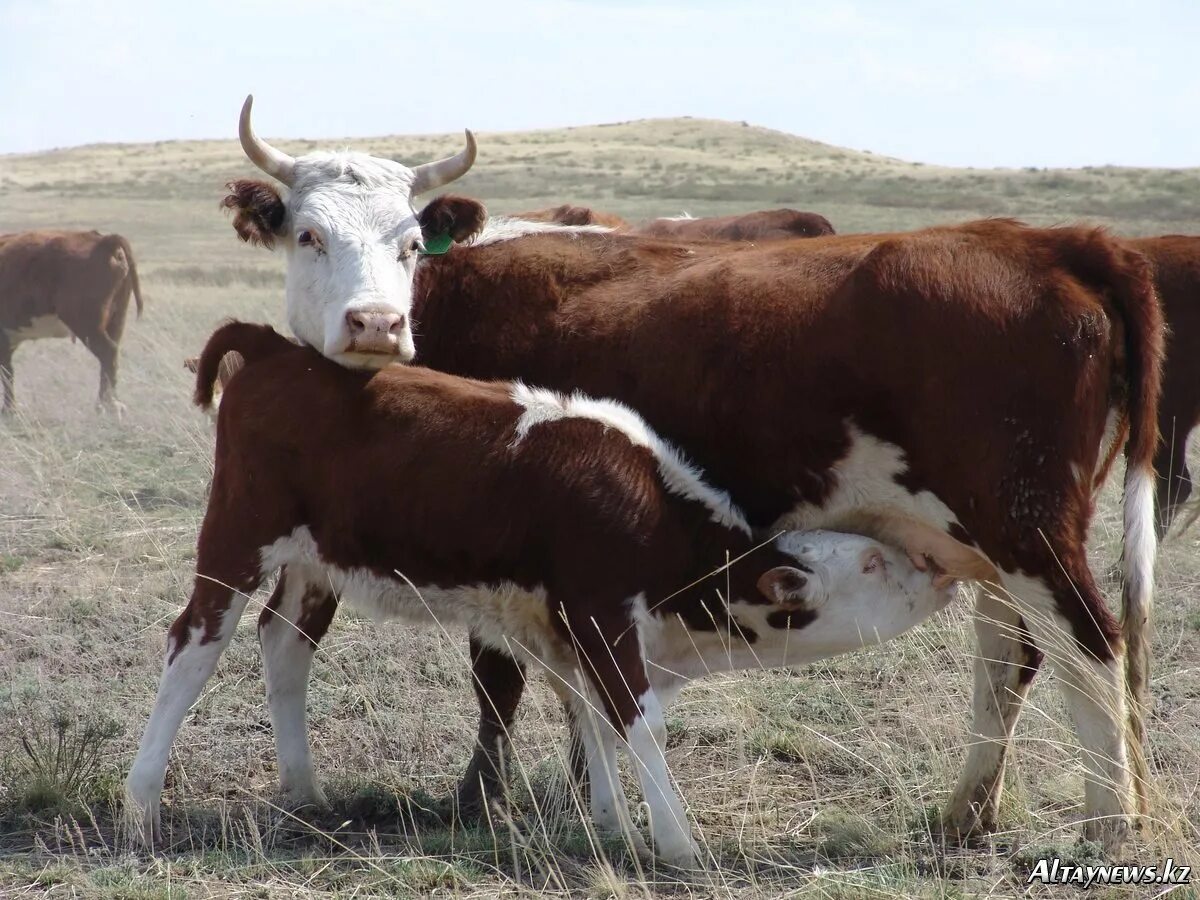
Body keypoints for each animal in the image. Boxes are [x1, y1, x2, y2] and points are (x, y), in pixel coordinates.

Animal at [1, 232, 145, 415]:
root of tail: (102, 240)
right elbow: (8, 372)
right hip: (116, 320)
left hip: (87, 327)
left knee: (108, 353)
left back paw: (106, 406)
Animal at [124, 319, 955, 868]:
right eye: (872, 564)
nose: (938, 569)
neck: (651, 511)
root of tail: (277, 346)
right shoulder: (600, 614)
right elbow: (637, 722)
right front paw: (676, 843)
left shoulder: (564, 627)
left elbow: (592, 720)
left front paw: (612, 825)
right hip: (236, 536)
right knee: (193, 646)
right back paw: (142, 801)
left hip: (311, 561)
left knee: (286, 644)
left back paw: (303, 789)